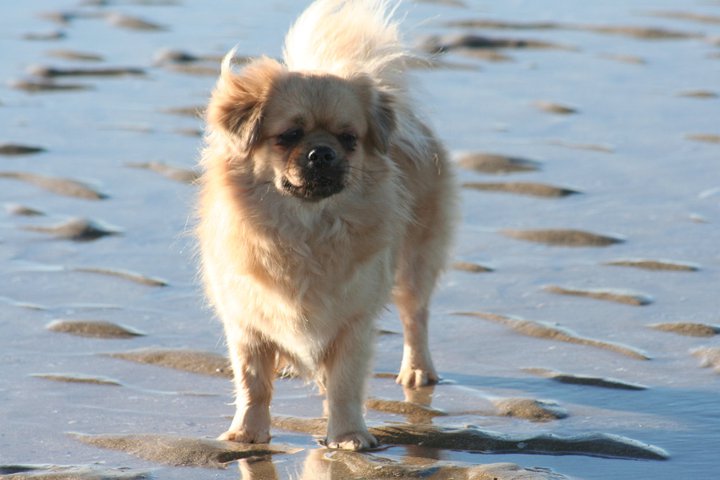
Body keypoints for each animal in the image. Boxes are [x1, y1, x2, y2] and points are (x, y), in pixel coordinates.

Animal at [197, 0, 456, 450]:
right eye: (289, 135)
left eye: (349, 139)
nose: (322, 152)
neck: (306, 229)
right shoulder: (246, 322)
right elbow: (253, 384)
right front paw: (247, 433)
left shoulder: (353, 322)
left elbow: (344, 384)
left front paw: (349, 435)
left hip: (415, 266)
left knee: (415, 316)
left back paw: (417, 369)